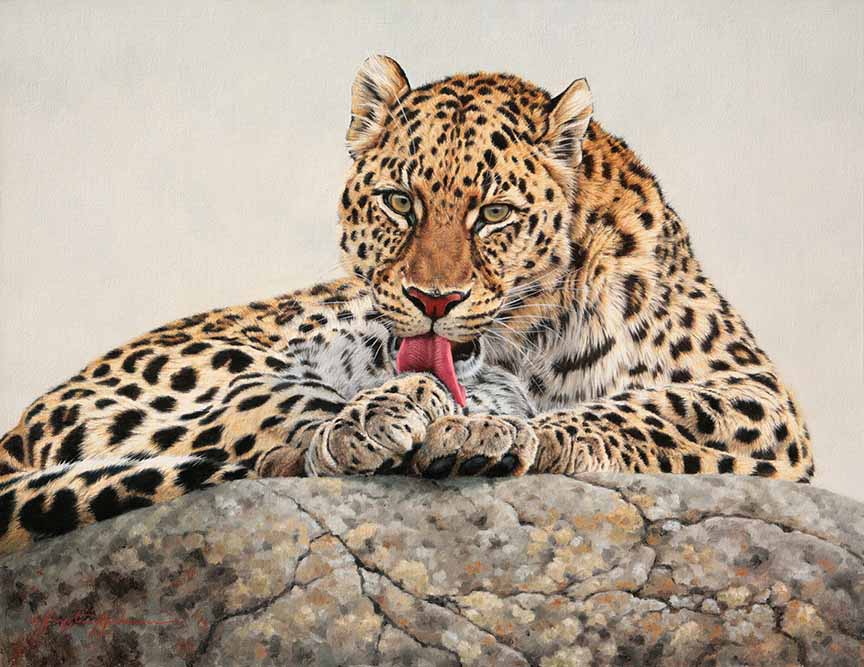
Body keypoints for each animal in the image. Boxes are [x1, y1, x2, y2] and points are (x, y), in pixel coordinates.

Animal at [0, 56, 812, 555]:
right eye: (399, 201)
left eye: (494, 214)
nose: (432, 298)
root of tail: (23, 421)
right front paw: (447, 420)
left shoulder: (756, 392)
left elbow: (642, 409)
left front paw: (506, 432)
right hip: (193, 370)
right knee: (257, 427)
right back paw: (378, 419)